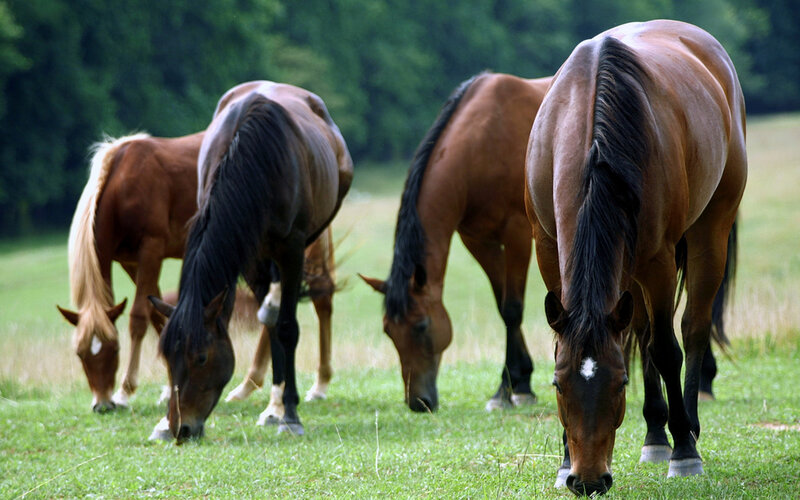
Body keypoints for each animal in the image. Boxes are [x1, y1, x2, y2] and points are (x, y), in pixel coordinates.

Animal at [58, 132, 338, 414]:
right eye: (80, 353)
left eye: (114, 349)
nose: (102, 404)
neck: (122, 183)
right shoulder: (131, 262)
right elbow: (159, 315)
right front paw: (169, 386)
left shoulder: (151, 249)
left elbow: (138, 318)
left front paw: (125, 391)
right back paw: (250, 385)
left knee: (320, 299)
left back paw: (317, 385)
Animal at [149, 81, 352, 441]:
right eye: (167, 358)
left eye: (201, 358)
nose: (181, 428)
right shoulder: (248, 254)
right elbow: (272, 327)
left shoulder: (291, 249)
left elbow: (287, 328)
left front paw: (290, 415)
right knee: (269, 319)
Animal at [361, 72, 551, 412]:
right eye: (388, 331)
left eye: (422, 326)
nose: (418, 402)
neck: (482, 145)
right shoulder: (479, 241)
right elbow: (502, 307)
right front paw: (518, 382)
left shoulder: (517, 235)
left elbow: (513, 309)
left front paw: (509, 390)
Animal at [525, 20, 746, 496]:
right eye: (558, 384)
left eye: (620, 382)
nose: (588, 481)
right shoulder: (547, 248)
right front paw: (563, 461)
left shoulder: (659, 261)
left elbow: (666, 349)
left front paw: (685, 452)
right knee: (641, 332)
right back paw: (655, 435)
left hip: (709, 231)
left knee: (692, 328)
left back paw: (686, 429)